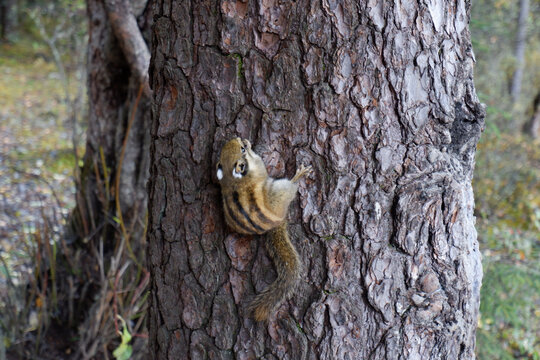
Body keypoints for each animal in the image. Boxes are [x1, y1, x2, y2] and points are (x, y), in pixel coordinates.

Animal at [216, 138, 312, 320]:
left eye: (238, 146)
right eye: (243, 149)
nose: (242, 139)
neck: (232, 180)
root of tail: (276, 222)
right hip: (281, 188)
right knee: (290, 187)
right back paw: (298, 176)